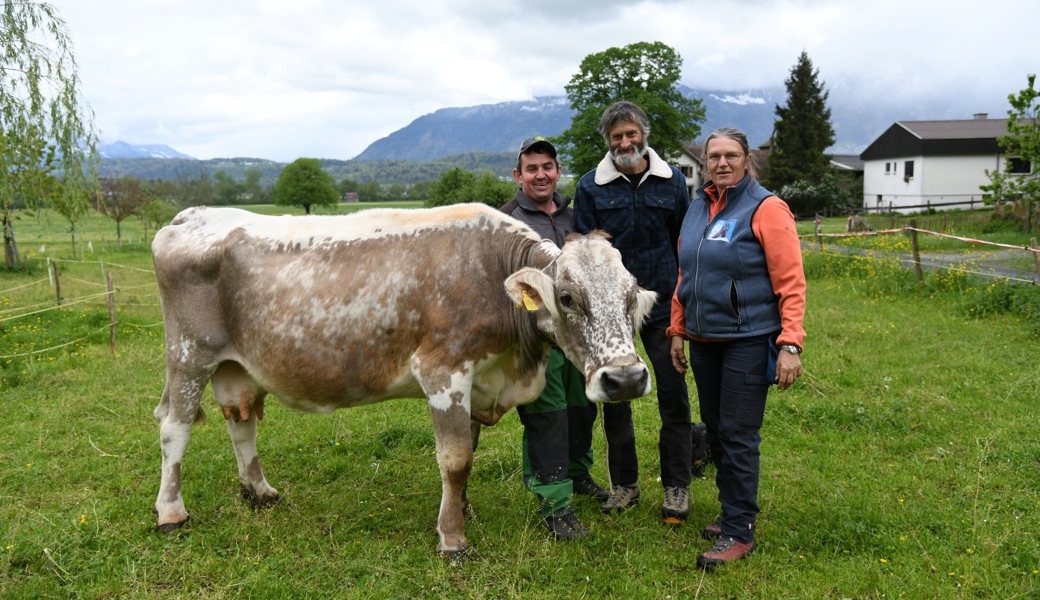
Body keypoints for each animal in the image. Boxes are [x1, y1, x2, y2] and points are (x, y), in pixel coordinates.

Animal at [150, 202, 653, 557]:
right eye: (567, 297)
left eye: (631, 295)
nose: (626, 379)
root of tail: (192, 215)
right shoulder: (443, 372)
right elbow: (455, 459)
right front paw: (453, 538)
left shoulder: (477, 380)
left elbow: (468, 452)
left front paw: (462, 509)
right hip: (188, 355)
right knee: (174, 428)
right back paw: (171, 512)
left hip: (234, 364)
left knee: (240, 421)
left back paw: (258, 490)